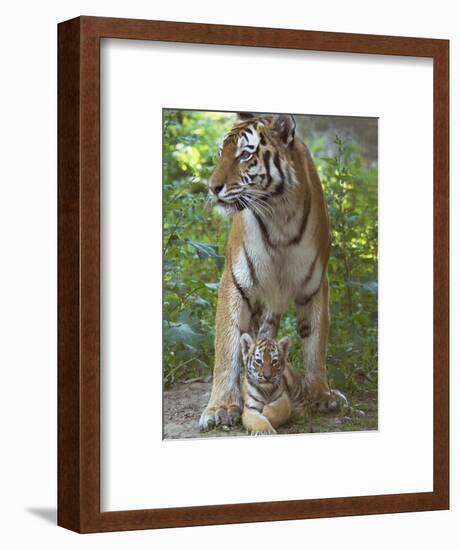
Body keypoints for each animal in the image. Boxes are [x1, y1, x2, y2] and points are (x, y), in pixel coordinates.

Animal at [199, 112, 346, 432]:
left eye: (244, 154)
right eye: (220, 153)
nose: (212, 187)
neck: (280, 216)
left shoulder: (315, 284)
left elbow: (316, 342)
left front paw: (320, 394)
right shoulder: (235, 282)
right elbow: (227, 346)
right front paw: (221, 408)